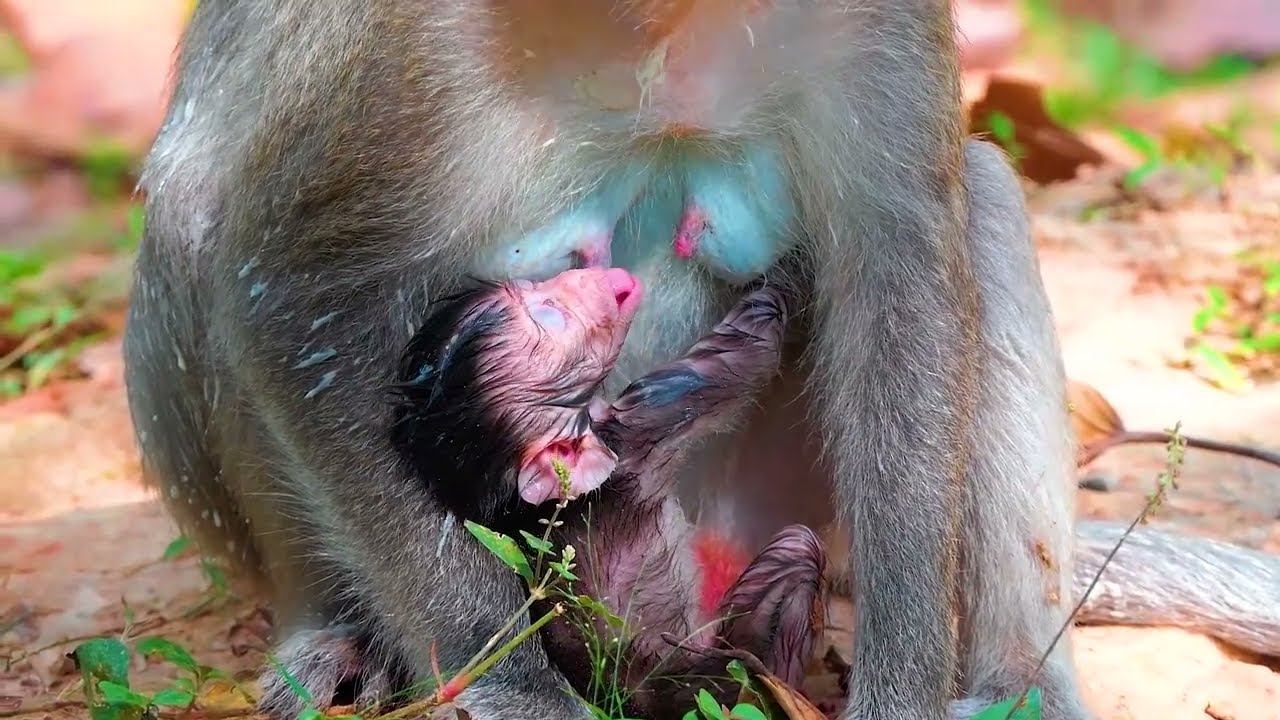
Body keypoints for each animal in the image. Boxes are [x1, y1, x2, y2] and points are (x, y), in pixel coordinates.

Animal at [121, 2, 1124, 719]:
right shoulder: (405, 50)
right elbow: (296, 292)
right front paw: (517, 691)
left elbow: (898, 275)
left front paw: (904, 695)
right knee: (194, 210)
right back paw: (333, 637)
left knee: (981, 197)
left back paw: (1018, 685)